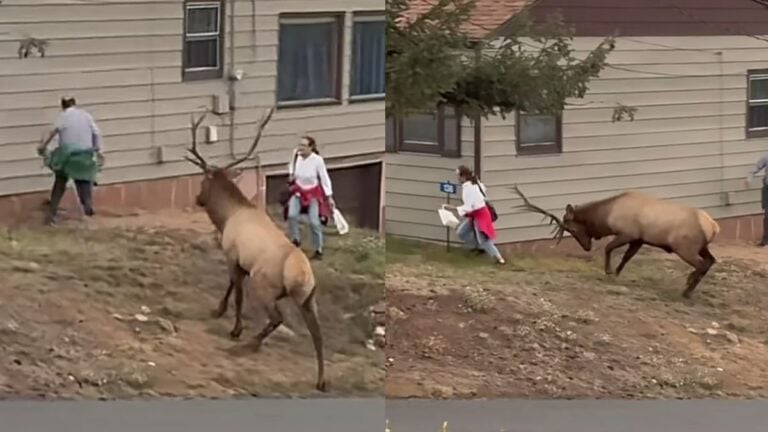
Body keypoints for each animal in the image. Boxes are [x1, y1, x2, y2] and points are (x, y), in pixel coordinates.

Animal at [184, 107, 326, 392]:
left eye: (203, 183)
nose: (198, 199)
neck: (227, 216)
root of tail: (302, 275)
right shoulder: (238, 262)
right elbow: (230, 286)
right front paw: (218, 310)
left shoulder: (232, 255)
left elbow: (236, 292)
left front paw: (235, 328)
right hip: (309, 298)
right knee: (318, 334)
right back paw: (321, 380)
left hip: (267, 286)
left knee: (277, 317)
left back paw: (251, 343)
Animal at [511, 185, 720, 299]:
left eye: (572, 229)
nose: (586, 247)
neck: (607, 216)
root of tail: (713, 226)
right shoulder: (638, 239)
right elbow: (626, 258)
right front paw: (617, 273)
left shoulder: (627, 233)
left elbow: (608, 248)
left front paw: (609, 272)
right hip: (702, 247)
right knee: (711, 261)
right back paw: (689, 286)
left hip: (685, 247)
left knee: (702, 264)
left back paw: (687, 288)